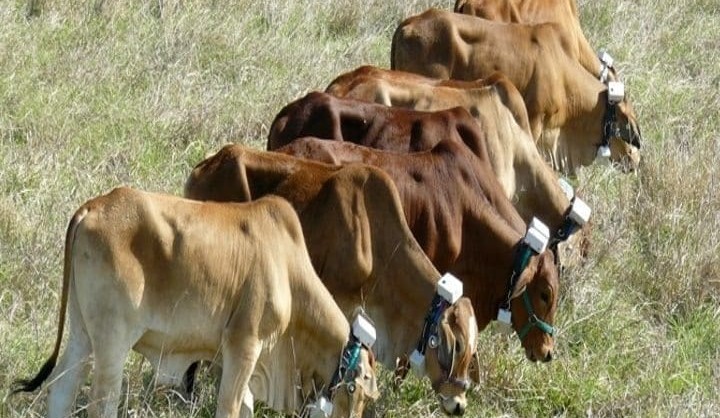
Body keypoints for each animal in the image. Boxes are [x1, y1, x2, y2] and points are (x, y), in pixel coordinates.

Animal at [12, 189, 379, 418]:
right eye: (361, 391)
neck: (288, 270)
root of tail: (95, 205)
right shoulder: (244, 344)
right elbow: (228, 408)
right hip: (111, 342)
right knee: (101, 404)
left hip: (81, 334)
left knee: (61, 391)